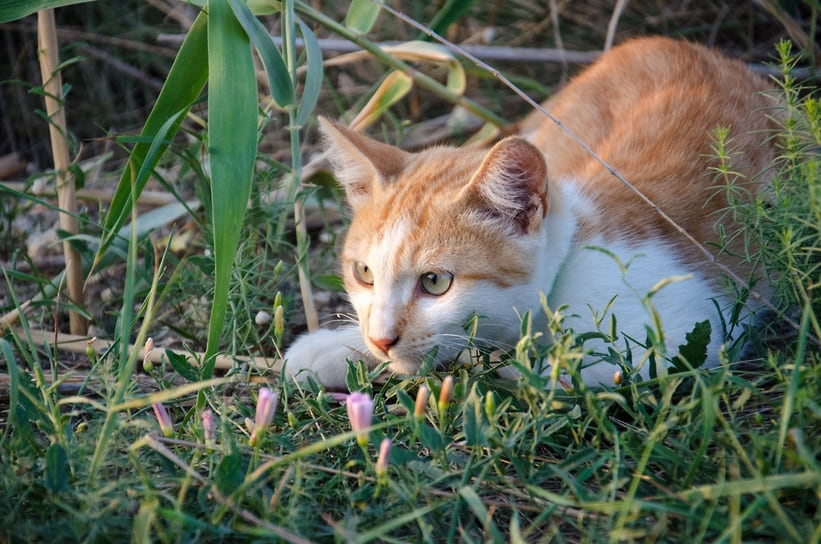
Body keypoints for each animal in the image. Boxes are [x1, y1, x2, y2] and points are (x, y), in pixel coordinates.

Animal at [284, 35, 776, 392]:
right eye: (364, 273)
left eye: (436, 282)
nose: (381, 339)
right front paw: (339, 347)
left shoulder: (684, 337)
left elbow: (523, 365)